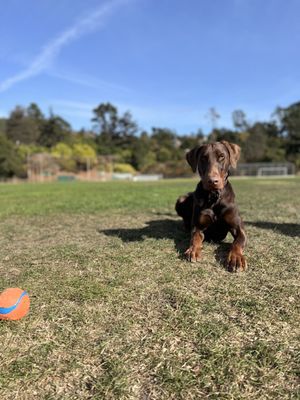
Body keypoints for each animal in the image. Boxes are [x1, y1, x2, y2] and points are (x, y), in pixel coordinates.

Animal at [176, 141, 246, 272]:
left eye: (222, 156)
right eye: (203, 158)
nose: (212, 181)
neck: (214, 197)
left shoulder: (238, 229)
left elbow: (237, 243)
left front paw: (236, 258)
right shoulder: (198, 226)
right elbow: (195, 238)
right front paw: (193, 250)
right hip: (180, 199)